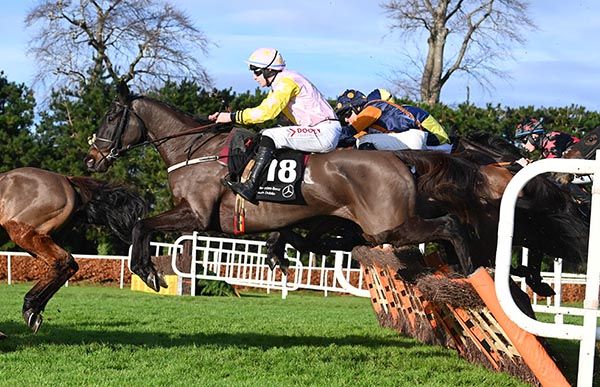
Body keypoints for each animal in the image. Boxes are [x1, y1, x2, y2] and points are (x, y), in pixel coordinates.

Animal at [0, 168, 146, 338]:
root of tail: (65, 178)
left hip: (25, 232)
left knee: (64, 261)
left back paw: (30, 309)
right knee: (68, 265)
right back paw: (33, 308)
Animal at [83, 92, 478, 292]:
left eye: (110, 117)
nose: (92, 159)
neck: (193, 149)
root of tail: (399, 157)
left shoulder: (196, 215)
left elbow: (142, 225)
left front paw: (147, 271)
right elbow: (143, 225)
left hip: (389, 226)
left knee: (449, 225)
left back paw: (469, 271)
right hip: (366, 224)